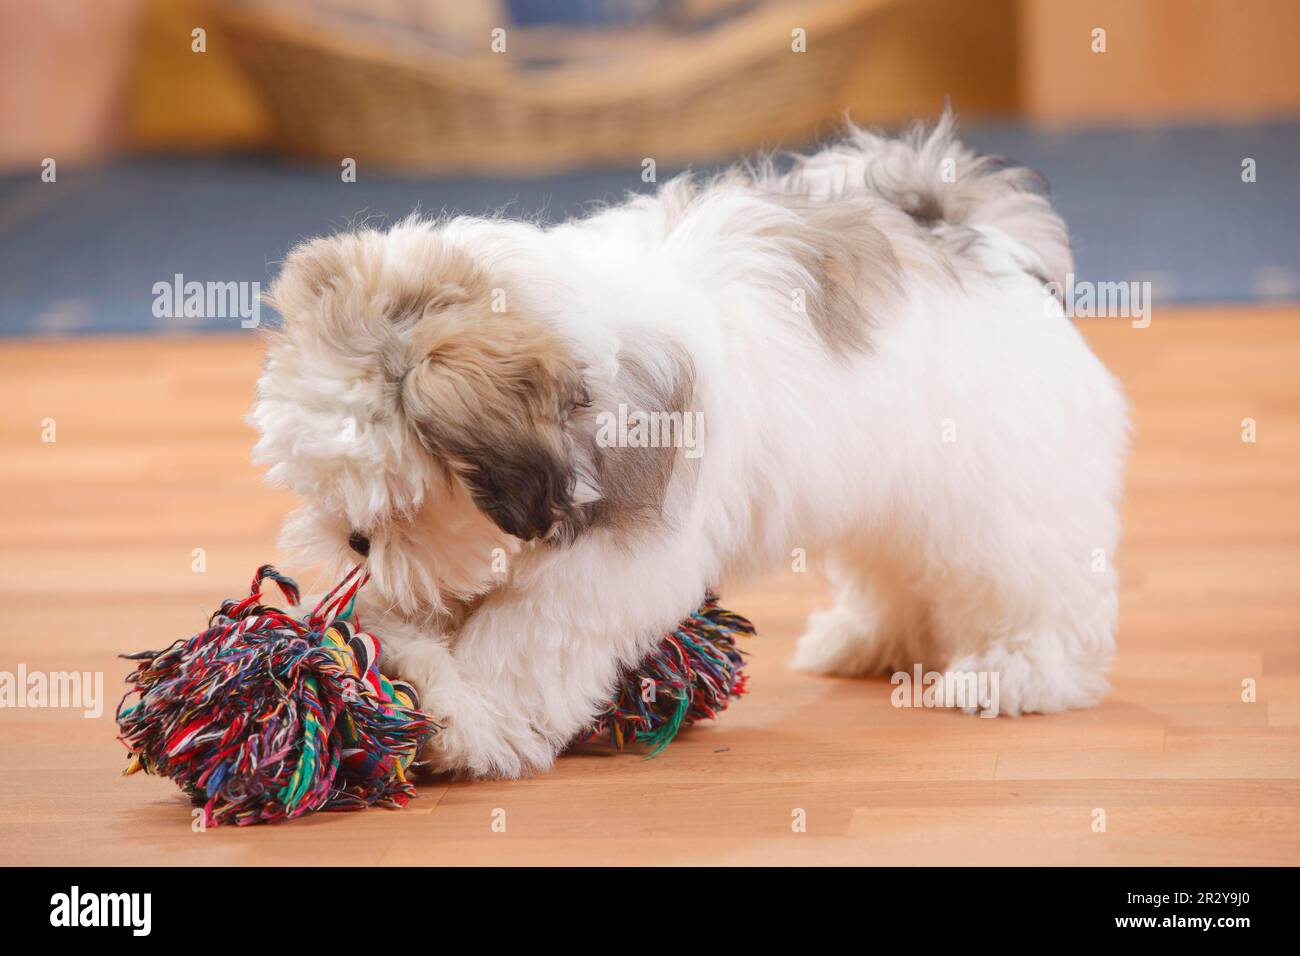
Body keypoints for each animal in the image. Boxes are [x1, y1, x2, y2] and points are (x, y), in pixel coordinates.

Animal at [250, 117, 1128, 780]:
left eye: (406, 507)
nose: (352, 542)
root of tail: (968, 232)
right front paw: (407, 654)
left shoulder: (612, 557)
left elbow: (528, 638)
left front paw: (464, 712)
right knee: (900, 561)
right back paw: (871, 640)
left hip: (998, 486)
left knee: (1024, 578)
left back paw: (1015, 670)